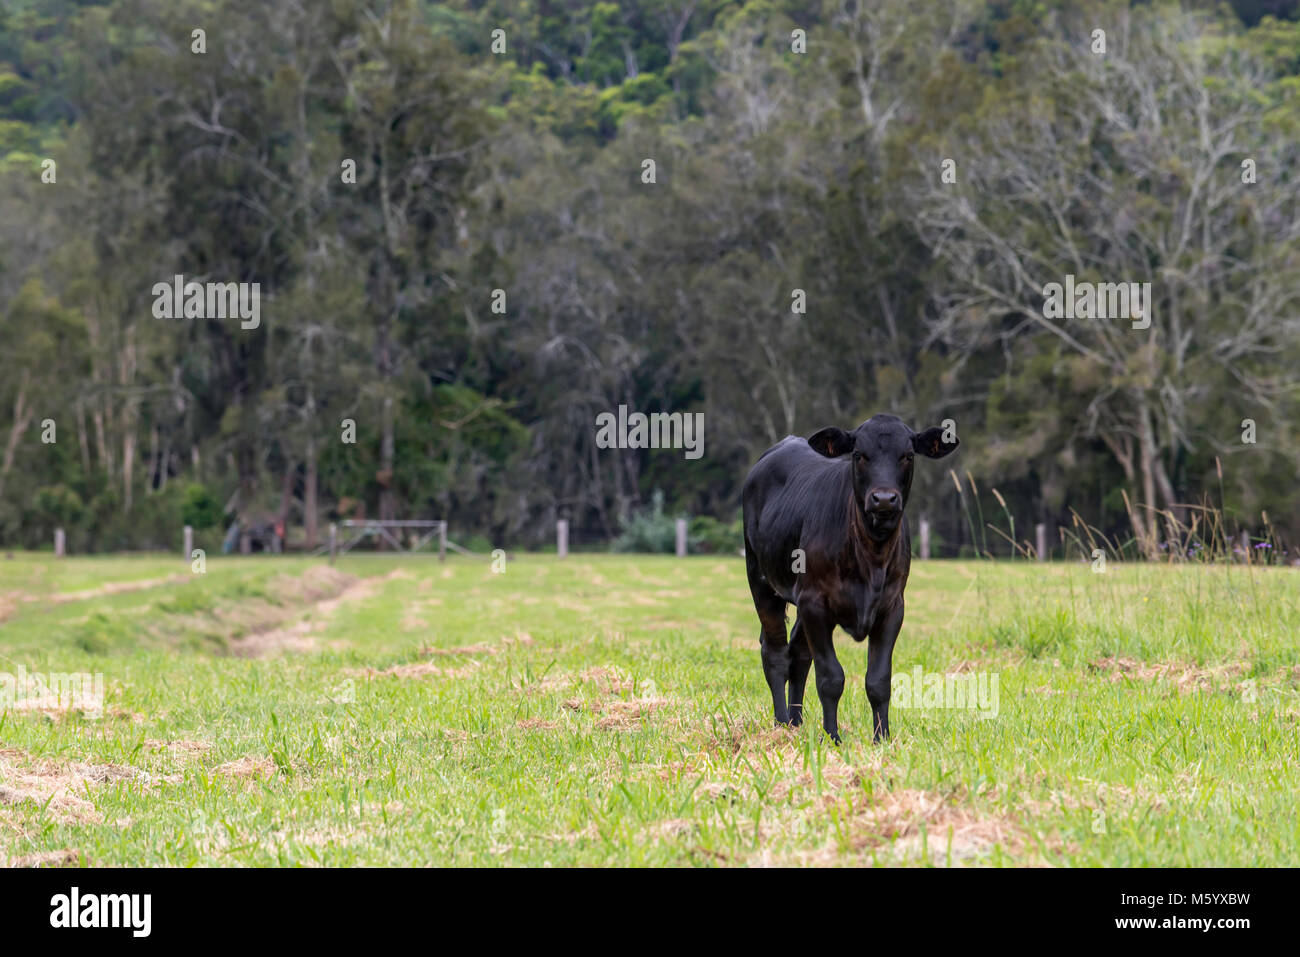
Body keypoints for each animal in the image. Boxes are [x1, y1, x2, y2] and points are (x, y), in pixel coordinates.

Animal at [743, 416, 956, 743]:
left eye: (908, 455)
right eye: (859, 454)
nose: (884, 499)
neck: (871, 557)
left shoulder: (892, 607)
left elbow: (879, 680)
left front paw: (881, 739)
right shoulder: (815, 602)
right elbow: (831, 677)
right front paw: (832, 737)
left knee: (799, 654)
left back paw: (796, 723)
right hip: (761, 579)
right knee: (775, 652)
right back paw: (781, 724)